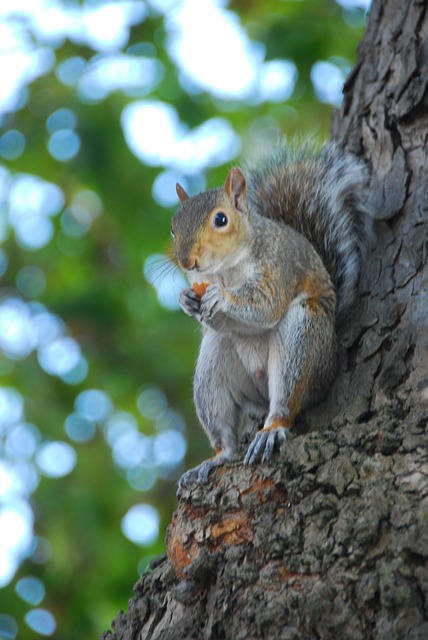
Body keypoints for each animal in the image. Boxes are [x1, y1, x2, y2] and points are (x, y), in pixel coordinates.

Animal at [171, 141, 374, 490]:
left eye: (221, 219)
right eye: (173, 228)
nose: (188, 262)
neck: (226, 271)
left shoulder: (277, 269)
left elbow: (265, 306)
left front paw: (220, 297)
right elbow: (212, 319)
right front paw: (187, 299)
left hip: (301, 340)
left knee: (286, 400)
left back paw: (272, 429)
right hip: (212, 366)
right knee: (224, 433)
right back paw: (215, 458)